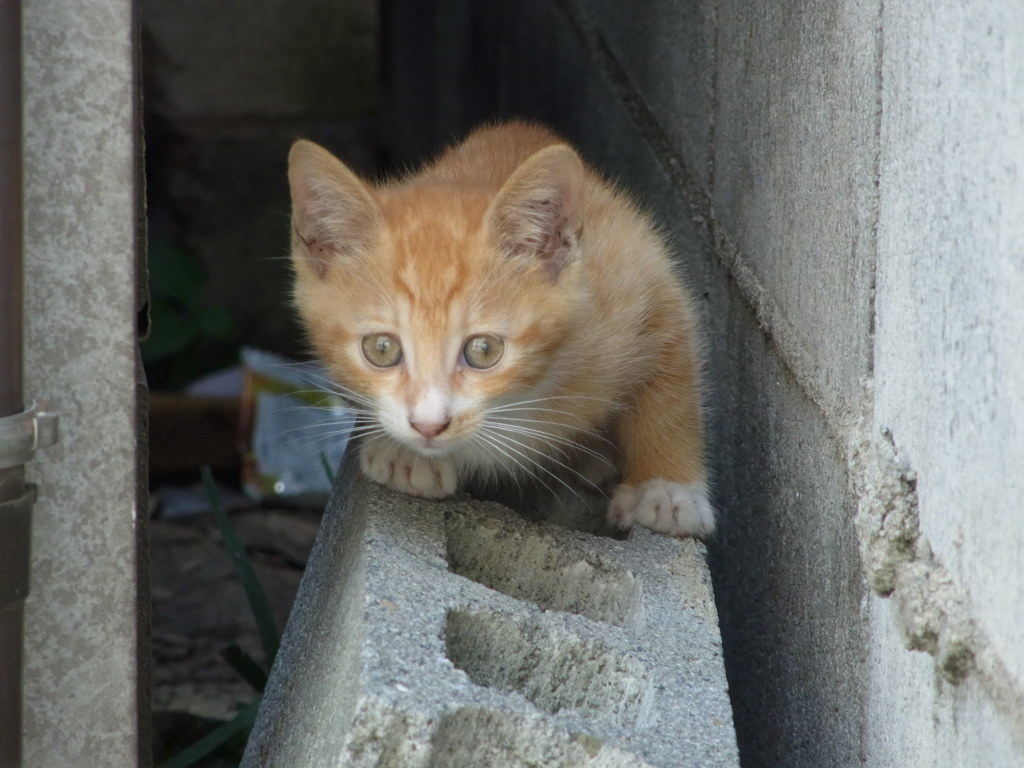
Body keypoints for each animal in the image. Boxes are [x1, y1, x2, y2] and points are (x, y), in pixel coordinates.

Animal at [286, 123, 712, 536]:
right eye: (381, 348)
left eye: (484, 350)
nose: (428, 426)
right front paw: (404, 453)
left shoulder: (643, 279)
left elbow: (672, 389)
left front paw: (667, 489)